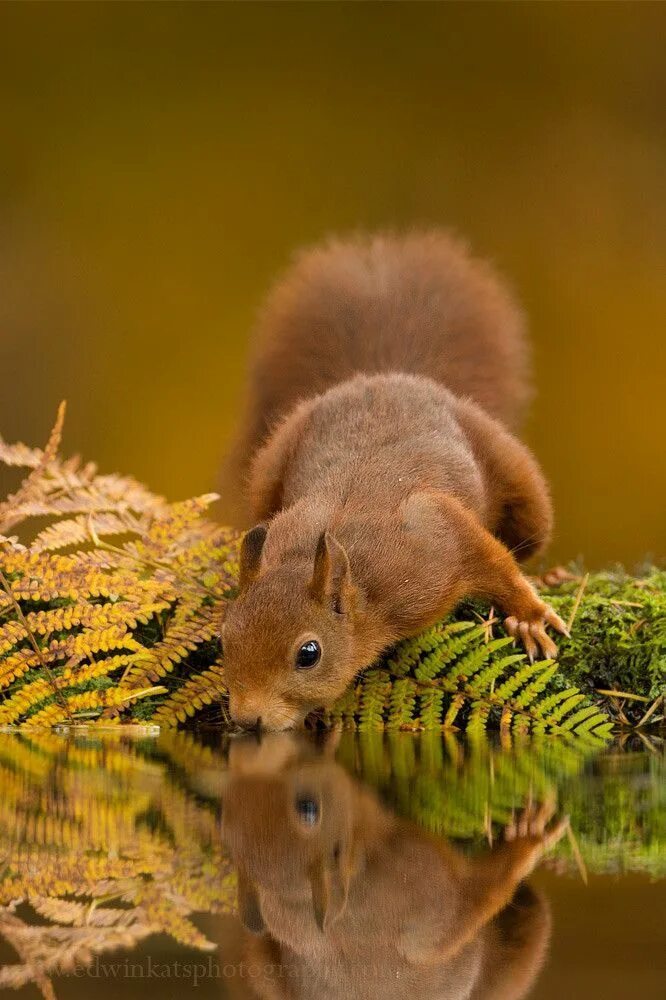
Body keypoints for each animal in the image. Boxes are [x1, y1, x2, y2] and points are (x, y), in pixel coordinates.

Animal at [220, 230, 564, 732]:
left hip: (520, 485)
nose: (247, 720)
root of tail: (388, 374)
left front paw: (529, 618)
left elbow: (493, 559)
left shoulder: (432, 544)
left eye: (309, 653)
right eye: (224, 637)